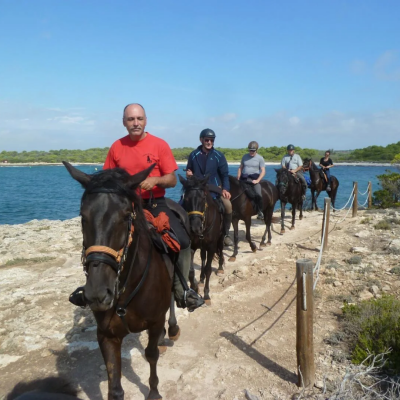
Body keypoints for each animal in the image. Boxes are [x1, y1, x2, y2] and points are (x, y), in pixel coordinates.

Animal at [63, 161, 181, 400]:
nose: (98, 294)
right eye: (82, 216)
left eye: (126, 216)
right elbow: (115, 388)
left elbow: (151, 354)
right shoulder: (107, 335)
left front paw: (154, 392)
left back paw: (172, 329)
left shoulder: (155, 322)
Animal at [179, 175, 224, 305]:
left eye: (203, 198)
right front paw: (194, 286)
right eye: (186, 198)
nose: (195, 227)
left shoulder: (211, 246)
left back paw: (220, 268)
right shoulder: (192, 246)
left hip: (220, 238)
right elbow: (190, 271)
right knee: (203, 257)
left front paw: (206, 295)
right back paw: (201, 278)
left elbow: (209, 269)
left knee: (220, 249)